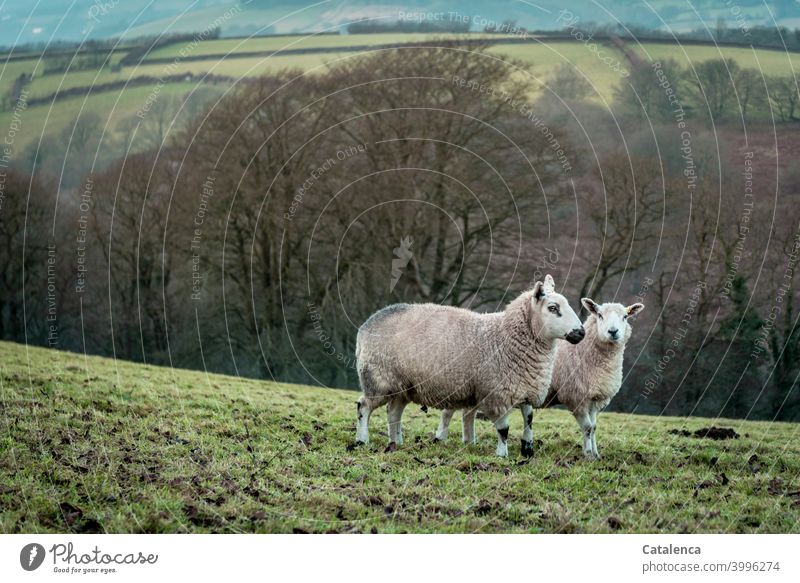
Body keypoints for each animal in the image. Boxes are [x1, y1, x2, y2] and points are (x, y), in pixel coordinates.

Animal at [354, 276, 584, 458]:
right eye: (552, 308)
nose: (580, 332)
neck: (505, 337)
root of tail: (366, 325)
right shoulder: (496, 394)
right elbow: (504, 429)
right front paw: (502, 455)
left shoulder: (526, 388)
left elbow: (528, 420)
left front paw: (527, 449)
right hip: (378, 378)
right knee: (364, 406)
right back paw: (362, 440)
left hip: (403, 385)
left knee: (394, 412)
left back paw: (395, 442)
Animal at [438, 298, 644, 458]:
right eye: (600, 315)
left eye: (625, 317)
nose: (613, 332)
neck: (584, 352)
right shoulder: (576, 396)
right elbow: (586, 427)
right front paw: (588, 455)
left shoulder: (594, 398)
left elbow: (593, 427)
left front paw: (596, 453)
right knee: (449, 410)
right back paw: (441, 437)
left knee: (467, 412)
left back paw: (469, 441)